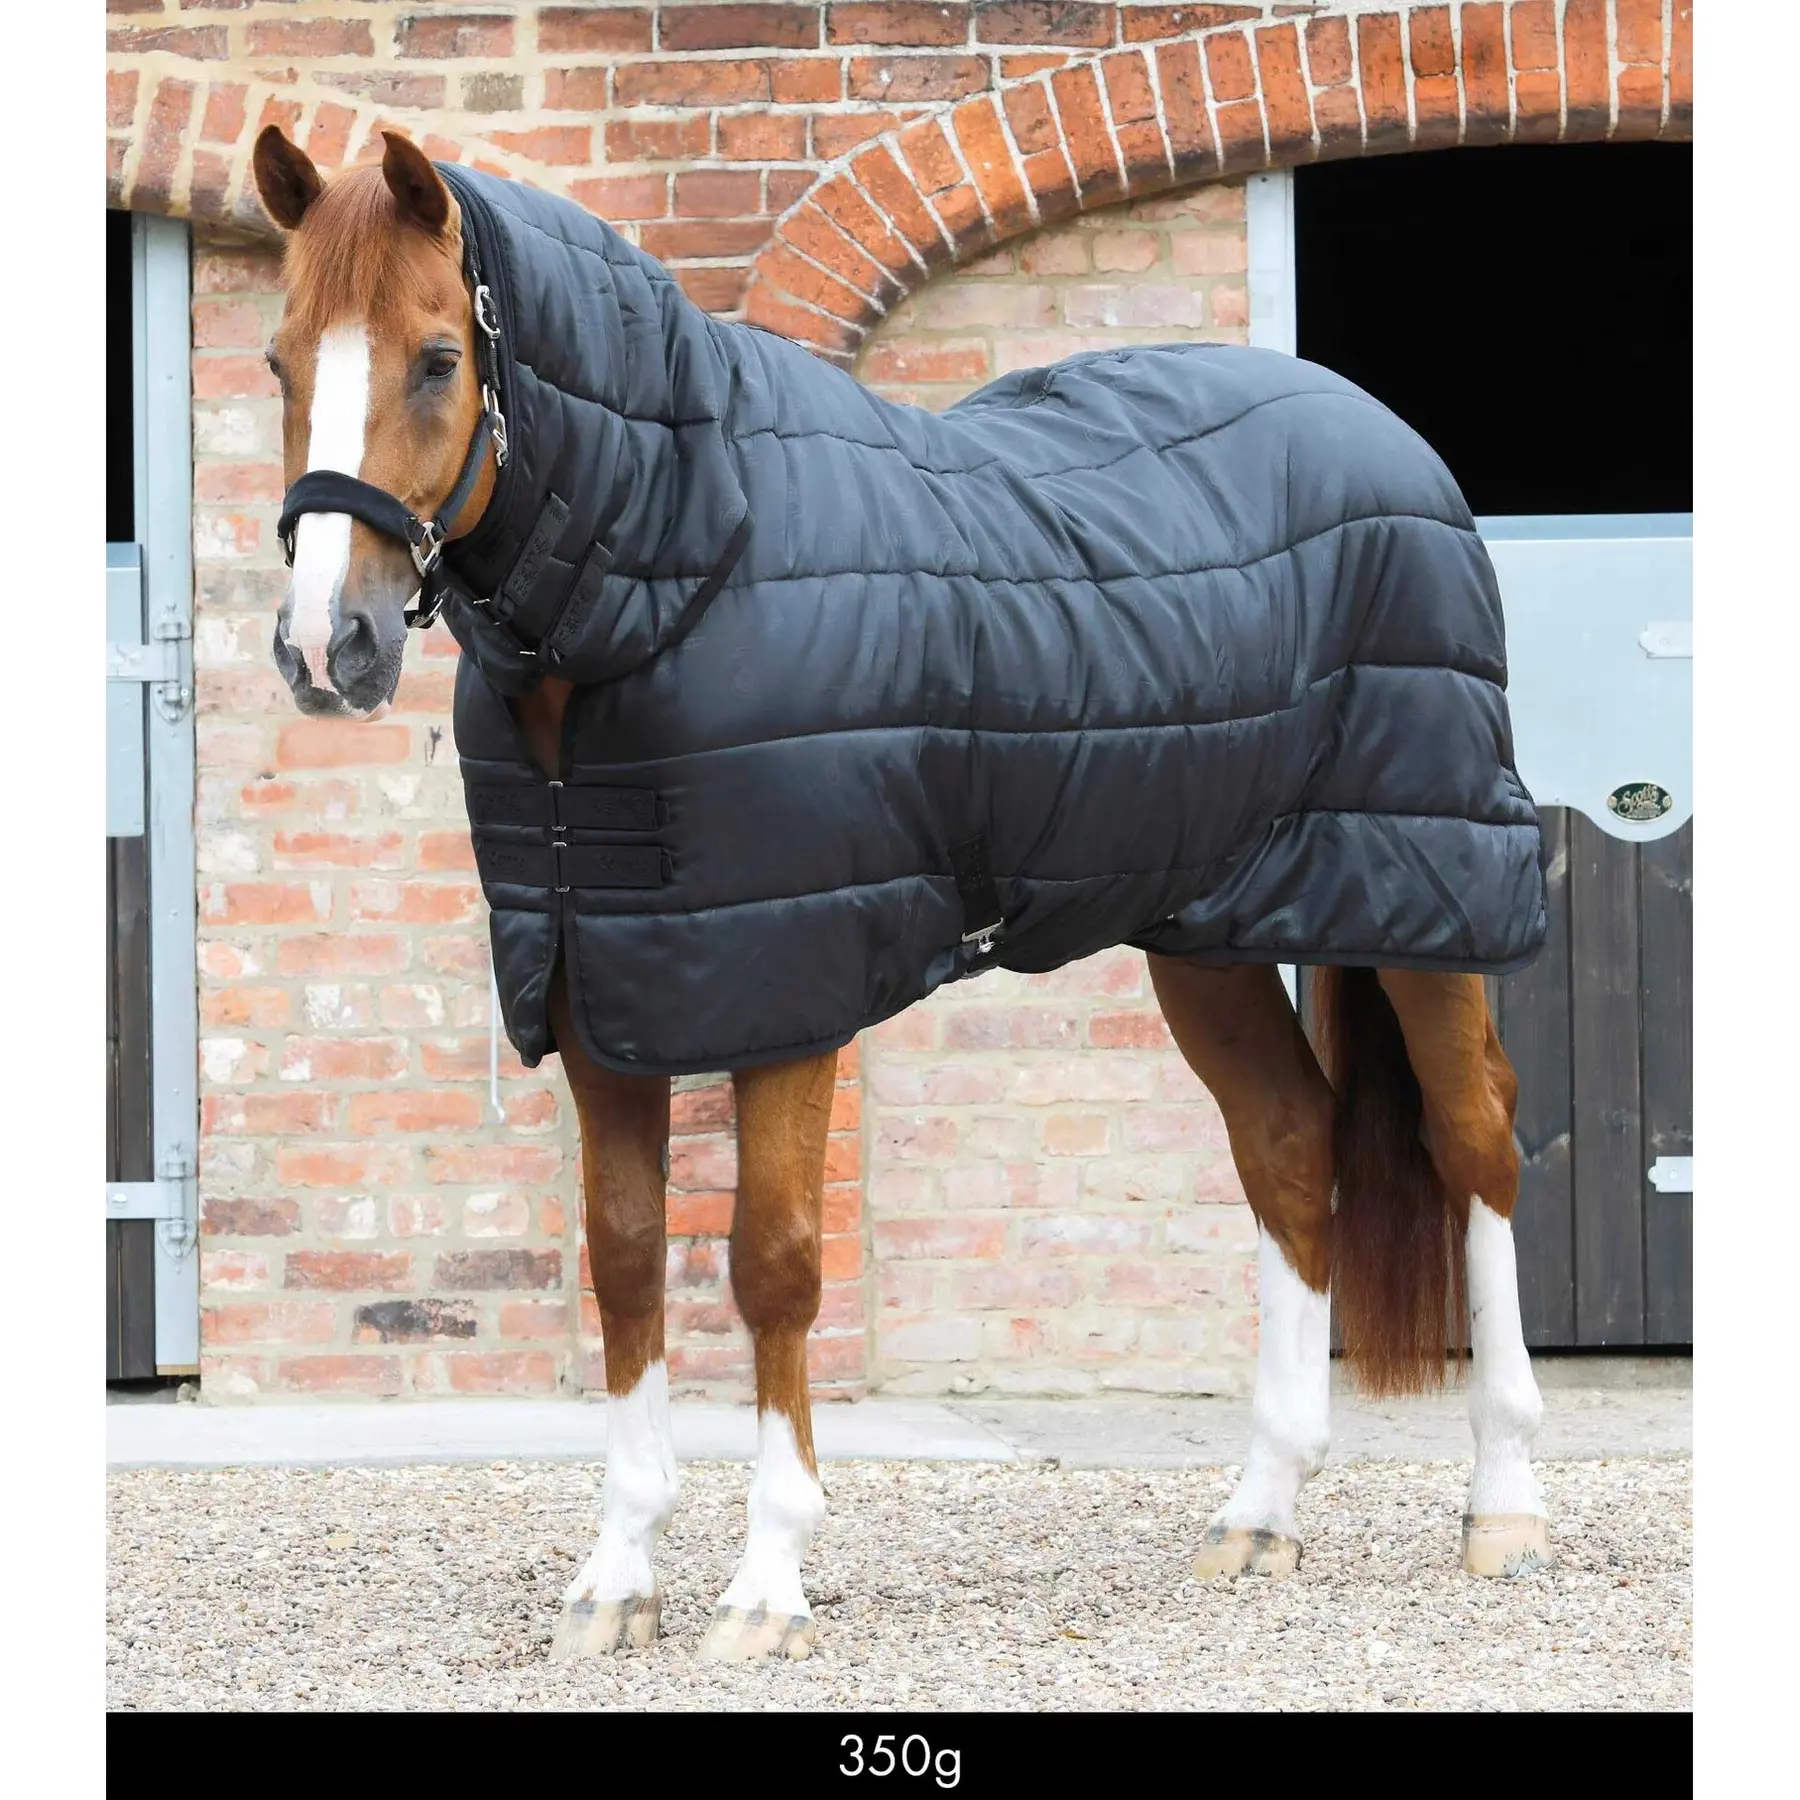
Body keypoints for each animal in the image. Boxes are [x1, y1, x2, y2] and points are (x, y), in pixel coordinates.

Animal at [250, 125, 1553, 1664]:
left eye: (439, 356)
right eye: (278, 359)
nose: (326, 647)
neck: (681, 569)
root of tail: (1385, 437)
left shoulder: (790, 996)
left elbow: (772, 1262)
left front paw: (766, 1584)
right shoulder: (595, 993)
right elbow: (626, 1260)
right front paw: (617, 1579)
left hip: (1429, 894)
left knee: (1477, 1145)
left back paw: (1504, 1505)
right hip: (1206, 930)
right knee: (1293, 1148)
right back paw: (1259, 1513)